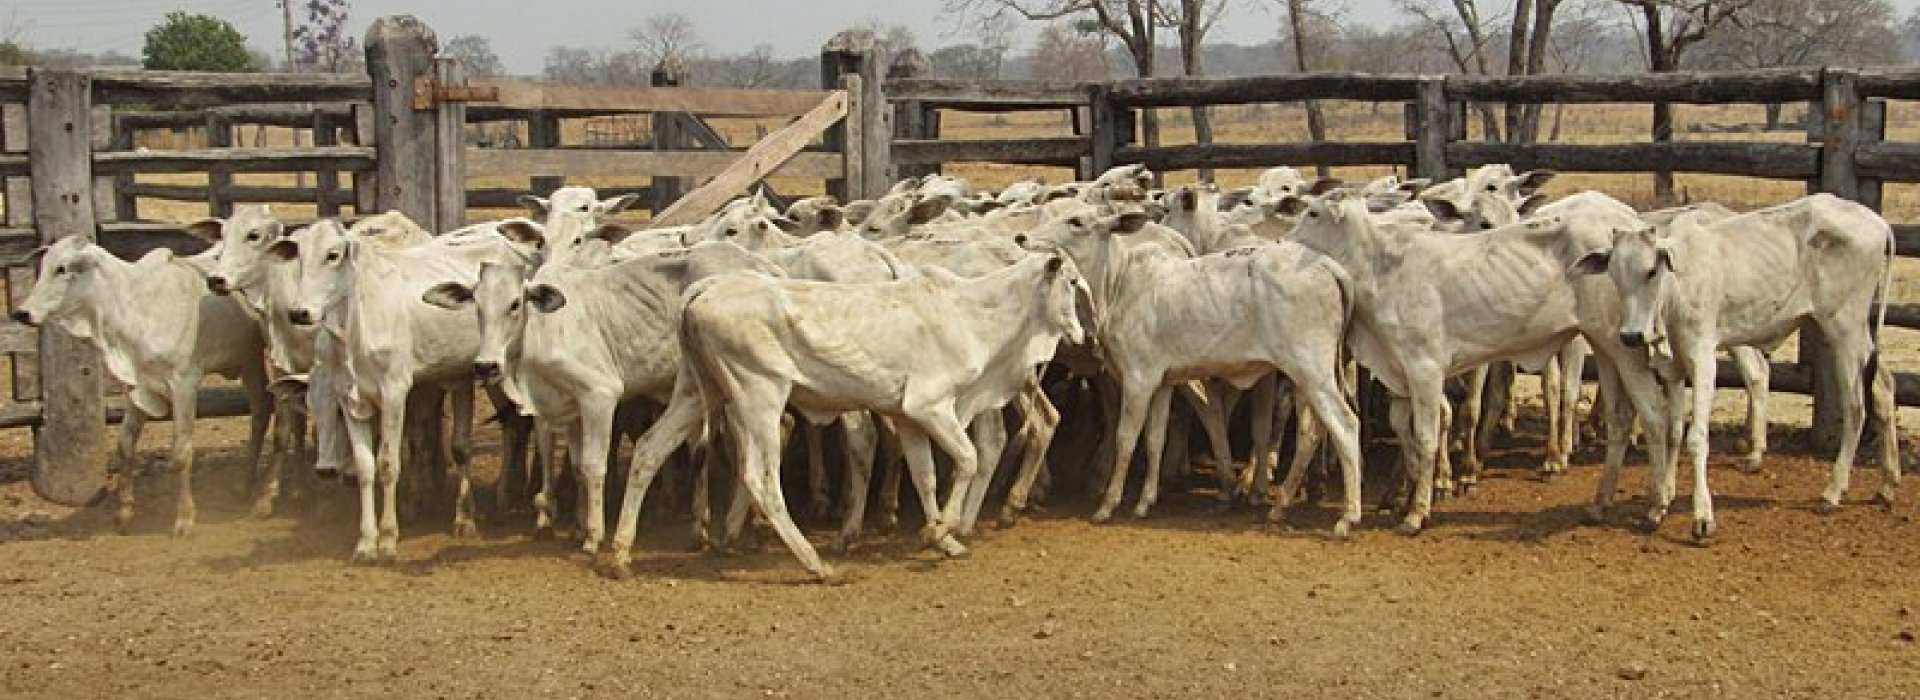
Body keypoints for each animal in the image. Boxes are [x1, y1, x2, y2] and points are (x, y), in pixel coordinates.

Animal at [13, 236, 271, 537]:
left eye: (62, 269)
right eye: (42, 267)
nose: (22, 312)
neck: (135, 308)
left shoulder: (184, 383)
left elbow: (181, 453)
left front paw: (185, 519)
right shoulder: (136, 387)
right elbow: (125, 445)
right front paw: (124, 514)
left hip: (252, 361)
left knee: (261, 412)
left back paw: (246, 484)